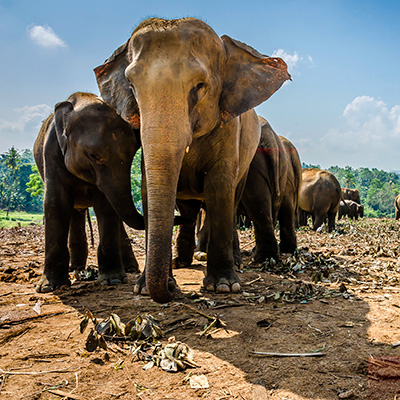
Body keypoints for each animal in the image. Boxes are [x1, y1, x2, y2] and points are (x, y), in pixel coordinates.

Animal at [33, 94, 145, 294]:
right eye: (93, 155)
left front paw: (112, 280)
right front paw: (48, 287)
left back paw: (129, 269)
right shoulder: (51, 151)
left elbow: (106, 206)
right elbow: (56, 203)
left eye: (133, 153)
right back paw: (75, 268)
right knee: (75, 213)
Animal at [94, 15, 288, 304]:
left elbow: (220, 188)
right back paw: (181, 262)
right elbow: (149, 191)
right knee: (189, 209)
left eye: (199, 86)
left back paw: (234, 263)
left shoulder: (229, 127)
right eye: (132, 86)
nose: (172, 290)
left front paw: (223, 286)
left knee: (232, 200)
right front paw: (143, 288)